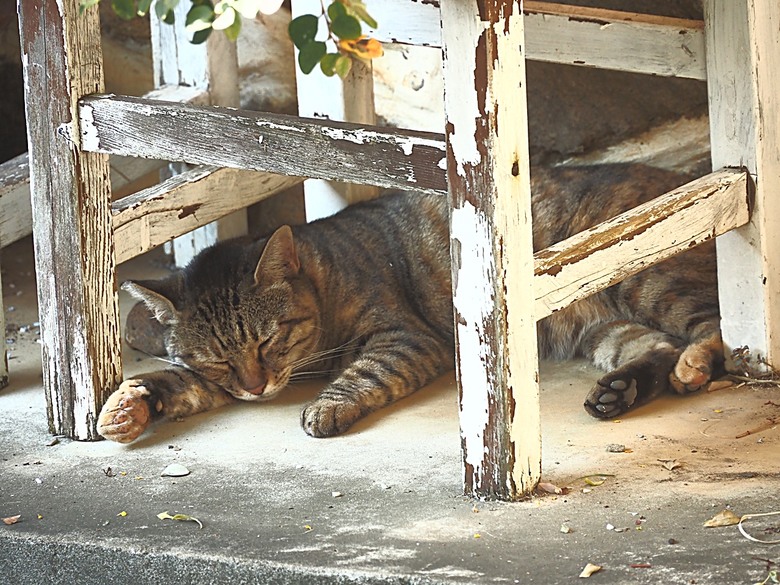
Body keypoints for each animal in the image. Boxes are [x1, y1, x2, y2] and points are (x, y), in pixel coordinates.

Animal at [99, 162, 724, 440]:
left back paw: (695, 364)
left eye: (268, 339)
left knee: (716, 328)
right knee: (656, 348)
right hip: (605, 329)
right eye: (219, 359)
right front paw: (130, 404)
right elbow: (179, 382)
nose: (256, 388)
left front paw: (326, 406)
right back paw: (621, 391)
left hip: (644, 282)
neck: (324, 274)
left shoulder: (404, 337)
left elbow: (365, 372)